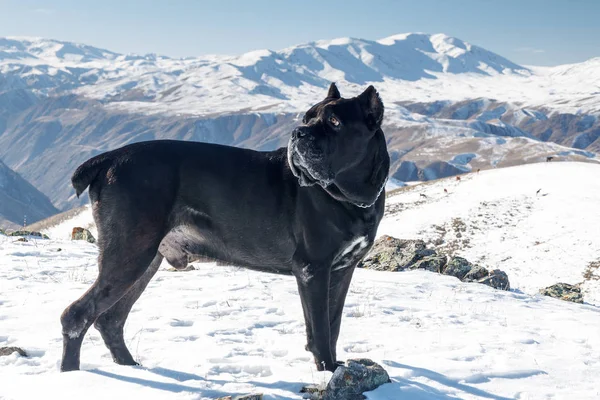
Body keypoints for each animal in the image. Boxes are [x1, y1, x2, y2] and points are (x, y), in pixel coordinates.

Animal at [59, 83, 390, 374]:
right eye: (308, 118)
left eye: (334, 122)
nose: (298, 132)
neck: (350, 198)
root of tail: (109, 158)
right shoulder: (313, 270)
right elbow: (319, 329)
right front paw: (328, 372)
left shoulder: (342, 270)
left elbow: (333, 325)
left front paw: (335, 367)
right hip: (130, 254)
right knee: (76, 315)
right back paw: (73, 375)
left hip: (145, 260)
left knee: (110, 319)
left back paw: (131, 367)